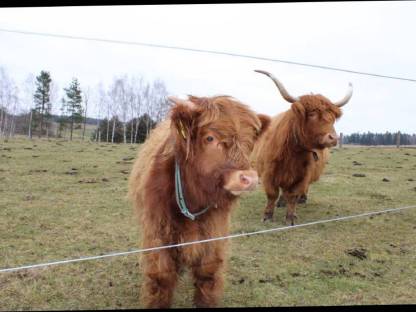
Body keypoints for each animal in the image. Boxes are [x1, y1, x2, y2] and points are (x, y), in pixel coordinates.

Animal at [127, 94, 270, 308]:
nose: (249, 178)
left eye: (251, 141)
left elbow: (207, 274)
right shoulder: (157, 231)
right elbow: (162, 276)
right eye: (210, 138)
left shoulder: (214, 231)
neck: (192, 200)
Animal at [252, 70, 352, 224]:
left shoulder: (302, 175)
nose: (333, 138)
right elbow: (272, 194)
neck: (292, 152)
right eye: (312, 114)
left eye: (332, 117)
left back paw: (301, 199)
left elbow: (293, 195)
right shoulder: (268, 173)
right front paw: (267, 216)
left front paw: (291, 217)